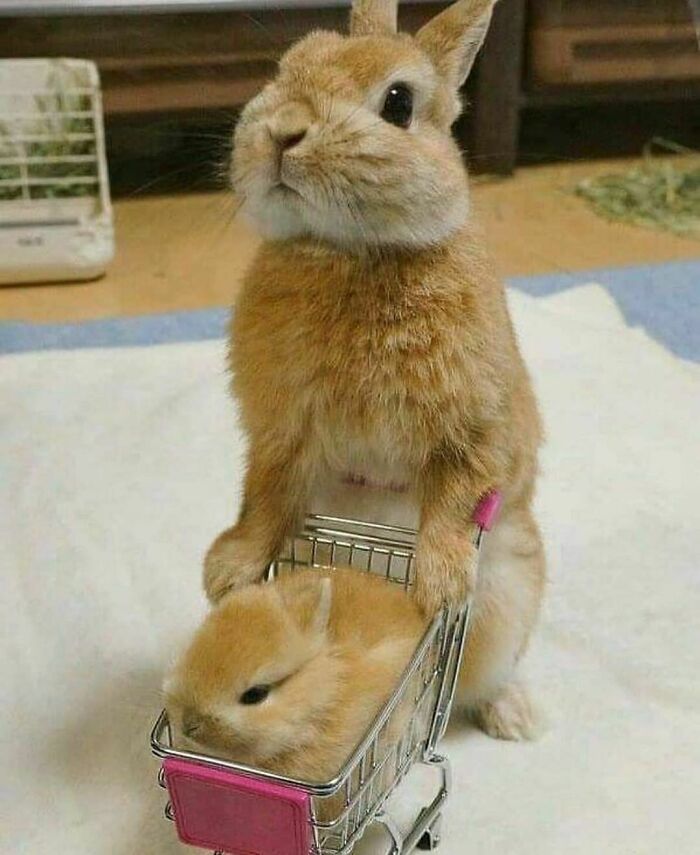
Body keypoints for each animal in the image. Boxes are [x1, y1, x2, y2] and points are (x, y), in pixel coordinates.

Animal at [204, 0, 546, 740]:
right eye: (286, 68)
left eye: (398, 103)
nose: (282, 131)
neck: (348, 252)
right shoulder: (281, 433)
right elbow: (263, 497)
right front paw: (226, 572)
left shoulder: (476, 428)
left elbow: (453, 496)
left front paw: (438, 583)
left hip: (513, 594)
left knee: (487, 673)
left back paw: (514, 716)